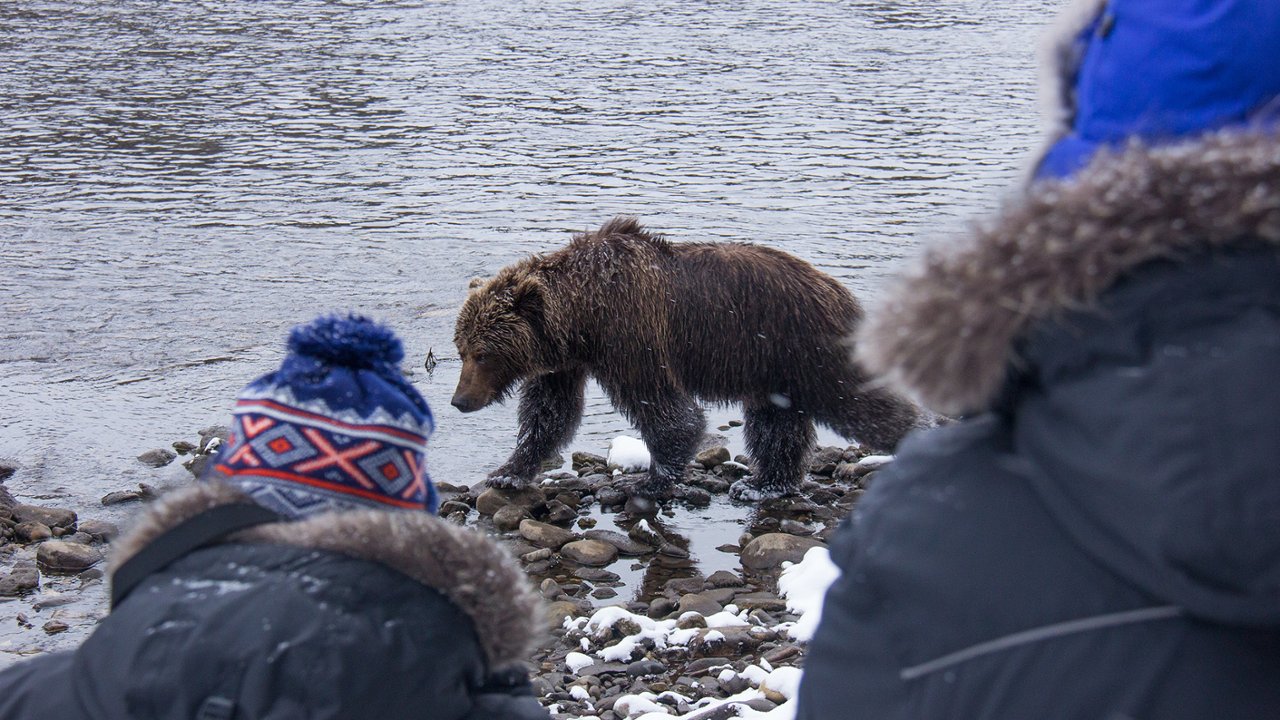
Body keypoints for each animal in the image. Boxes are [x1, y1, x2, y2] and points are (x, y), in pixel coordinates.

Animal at [455, 213, 926, 499]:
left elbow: (662, 407)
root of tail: (841, 291)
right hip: (773, 369)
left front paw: (653, 479)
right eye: (461, 350)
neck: (583, 314)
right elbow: (549, 413)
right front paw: (507, 471)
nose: (459, 400)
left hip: (806, 347)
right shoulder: (565, 361)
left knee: (856, 401)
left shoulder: (631, 335)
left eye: (483, 354)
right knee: (775, 424)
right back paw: (764, 483)